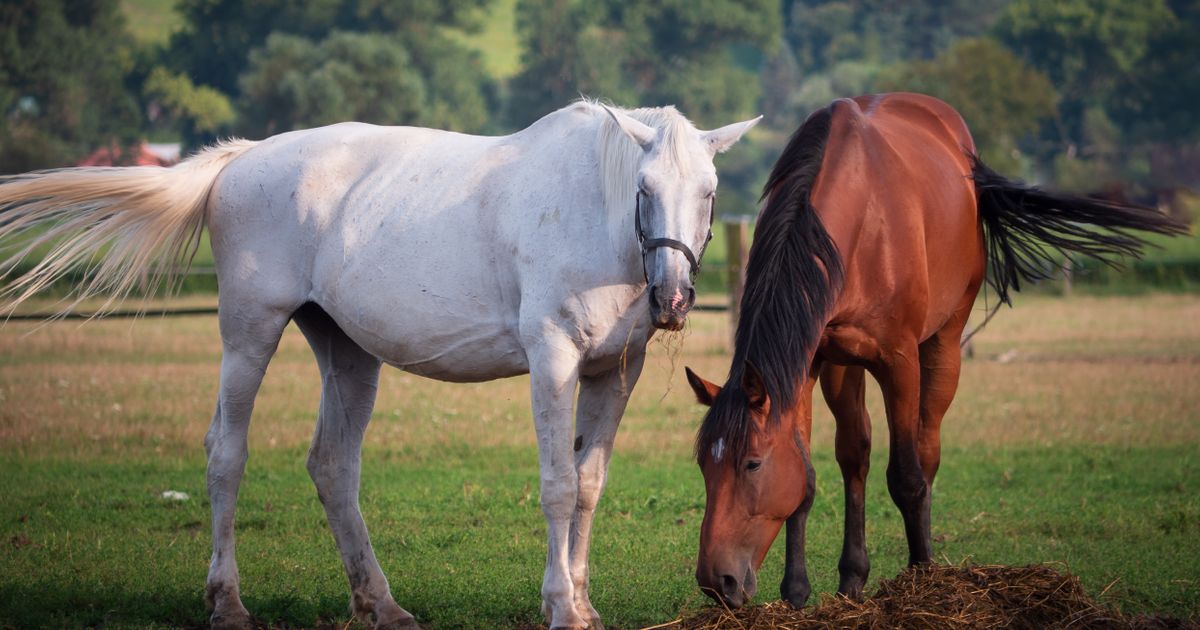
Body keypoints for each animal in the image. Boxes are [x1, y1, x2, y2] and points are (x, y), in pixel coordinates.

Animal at [0, 100, 758, 624]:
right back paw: (228, 602)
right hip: (249, 335)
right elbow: (559, 486)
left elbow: (592, 485)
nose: (673, 297)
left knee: (333, 466)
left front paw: (582, 602)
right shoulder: (553, 360)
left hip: (346, 351)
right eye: (644, 189)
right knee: (226, 453)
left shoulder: (613, 372)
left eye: (710, 191)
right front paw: (562, 609)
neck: (591, 213)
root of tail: (239, 160)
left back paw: (382, 605)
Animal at [681, 93, 1185, 609]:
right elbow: (806, 476)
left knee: (926, 449)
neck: (855, 222)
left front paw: (920, 582)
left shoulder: (899, 360)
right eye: (704, 465)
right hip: (843, 366)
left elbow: (906, 475)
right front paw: (797, 593)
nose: (716, 581)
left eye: (752, 463)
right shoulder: (807, 360)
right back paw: (852, 578)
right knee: (855, 453)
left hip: (944, 342)